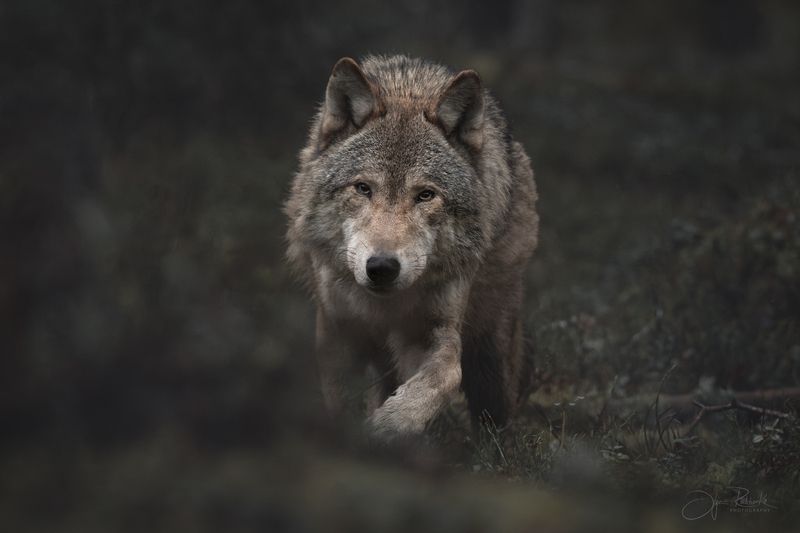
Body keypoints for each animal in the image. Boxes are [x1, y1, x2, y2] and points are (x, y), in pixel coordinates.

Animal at [286, 55, 538, 439]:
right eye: (363, 188)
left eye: (425, 195)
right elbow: (340, 401)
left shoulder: (431, 330)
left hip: (490, 343)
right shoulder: (336, 331)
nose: (382, 267)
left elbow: (446, 375)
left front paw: (393, 423)